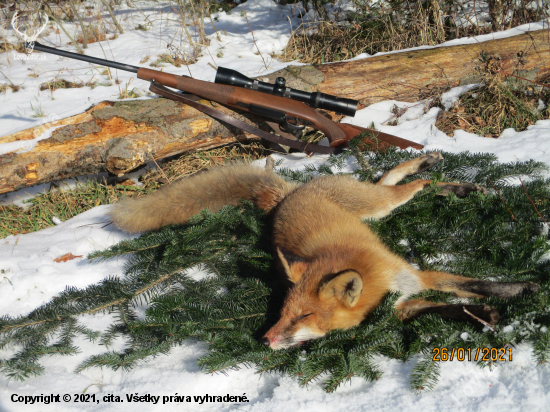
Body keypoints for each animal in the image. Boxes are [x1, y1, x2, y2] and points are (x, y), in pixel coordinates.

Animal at [112, 153, 540, 350]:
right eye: (281, 313)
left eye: (304, 315)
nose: (265, 340)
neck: (377, 283)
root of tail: (289, 195)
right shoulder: (401, 305)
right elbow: (445, 307)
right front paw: (483, 315)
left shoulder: (416, 275)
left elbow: (473, 283)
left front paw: (520, 290)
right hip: (374, 206)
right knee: (390, 181)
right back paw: (445, 180)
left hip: (375, 206)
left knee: (411, 185)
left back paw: (436, 171)